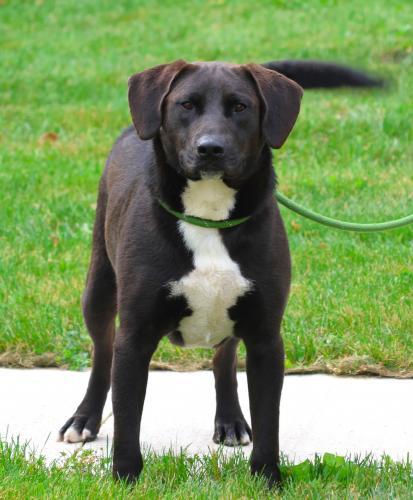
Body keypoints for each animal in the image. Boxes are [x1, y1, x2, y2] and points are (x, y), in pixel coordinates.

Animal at [57, 60, 380, 486]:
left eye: (240, 106)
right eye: (186, 105)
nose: (210, 148)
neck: (209, 215)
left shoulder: (265, 337)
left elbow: (268, 419)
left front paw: (267, 478)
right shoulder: (136, 335)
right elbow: (127, 419)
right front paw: (125, 478)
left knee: (223, 359)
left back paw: (230, 420)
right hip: (98, 287)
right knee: (102, 353)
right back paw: (85, 418)